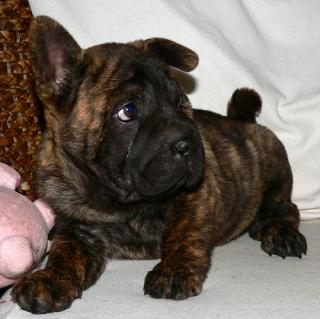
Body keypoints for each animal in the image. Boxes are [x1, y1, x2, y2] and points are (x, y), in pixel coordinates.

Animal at [11, 16, 308, 314]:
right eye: (128, 111)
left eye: (180, 101)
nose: (188, 143)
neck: (118, 203)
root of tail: (243, 120)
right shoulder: (76, 227)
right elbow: (64, 253)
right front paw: (48, 279)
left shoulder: (195, 195)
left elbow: (183, 232)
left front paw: (173, 272)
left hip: (275, 167)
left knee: (285, 208)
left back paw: (280, 233)